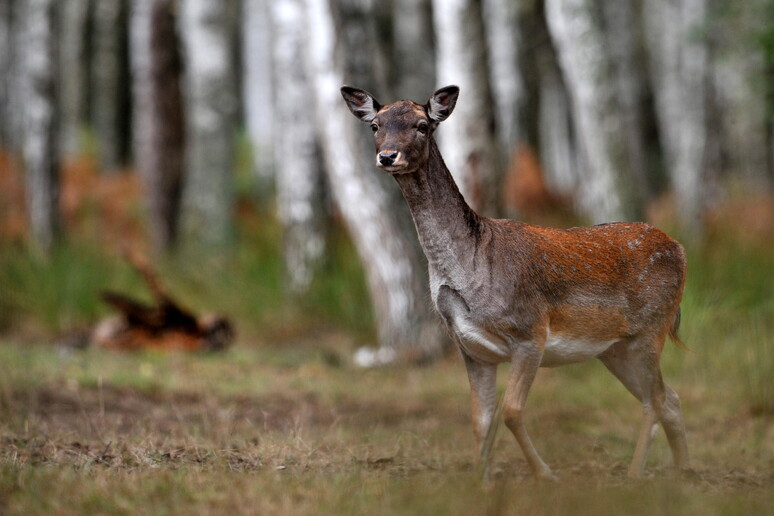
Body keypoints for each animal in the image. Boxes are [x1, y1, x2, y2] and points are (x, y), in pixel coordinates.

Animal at [342, 83, 696, 480]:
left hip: (652, 327)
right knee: (669, 398)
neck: (470, 269)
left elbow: (510, 413)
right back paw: (685, 472)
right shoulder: (470, 348)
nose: (388, 156)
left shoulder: (530, 331)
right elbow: (480, 420)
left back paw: (636, 476)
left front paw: (546, 475)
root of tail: (680, 249)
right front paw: (479, 482)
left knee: (655, 400)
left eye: (421, 125)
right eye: (375, 125)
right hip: (615, 348)